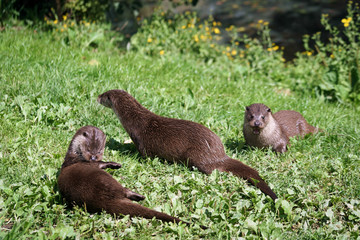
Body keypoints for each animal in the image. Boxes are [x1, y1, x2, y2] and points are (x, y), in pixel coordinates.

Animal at [57, 126, 190, 226]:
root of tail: (105, 200)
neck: (74, 156)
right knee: (123, 190)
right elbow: (99, 164)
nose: (94, 157)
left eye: (99, 151)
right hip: (104, 179)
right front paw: (113, 164)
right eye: (88, 149)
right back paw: (138, 196)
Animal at [97, 89, 278, 200]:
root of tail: (219, 153)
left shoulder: (140, 140)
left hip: (196, 156)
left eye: (104, 95)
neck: (135, 119)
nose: (97, 97)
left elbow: (144, 155)